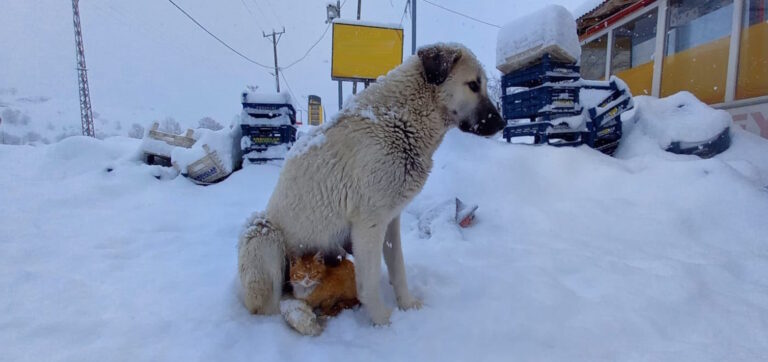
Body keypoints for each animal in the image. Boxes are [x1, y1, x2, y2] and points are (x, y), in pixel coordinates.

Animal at [238, 42, 504, 326]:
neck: (402, 121)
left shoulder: (391, 220)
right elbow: (369, 282)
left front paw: (407, 305)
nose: (502, 123)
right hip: (263, 233)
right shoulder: (369, 224)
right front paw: (383, 322)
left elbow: (398, 267)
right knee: (272, 304)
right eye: (473, 85)